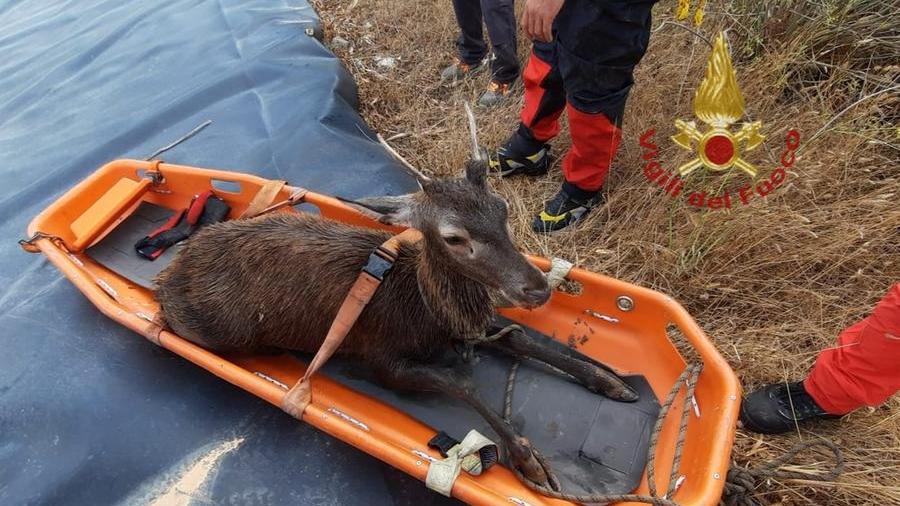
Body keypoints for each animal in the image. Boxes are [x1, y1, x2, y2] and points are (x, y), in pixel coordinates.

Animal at [154, 111, 638, 487]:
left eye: (502, 208)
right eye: (453, 236)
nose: (536, 288)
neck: (427, 310)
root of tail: (169, 271)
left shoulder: (474, 324)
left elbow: (524, 340)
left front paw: (609, 380)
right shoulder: (382, 358)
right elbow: (462, 383)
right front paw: (528, 458)